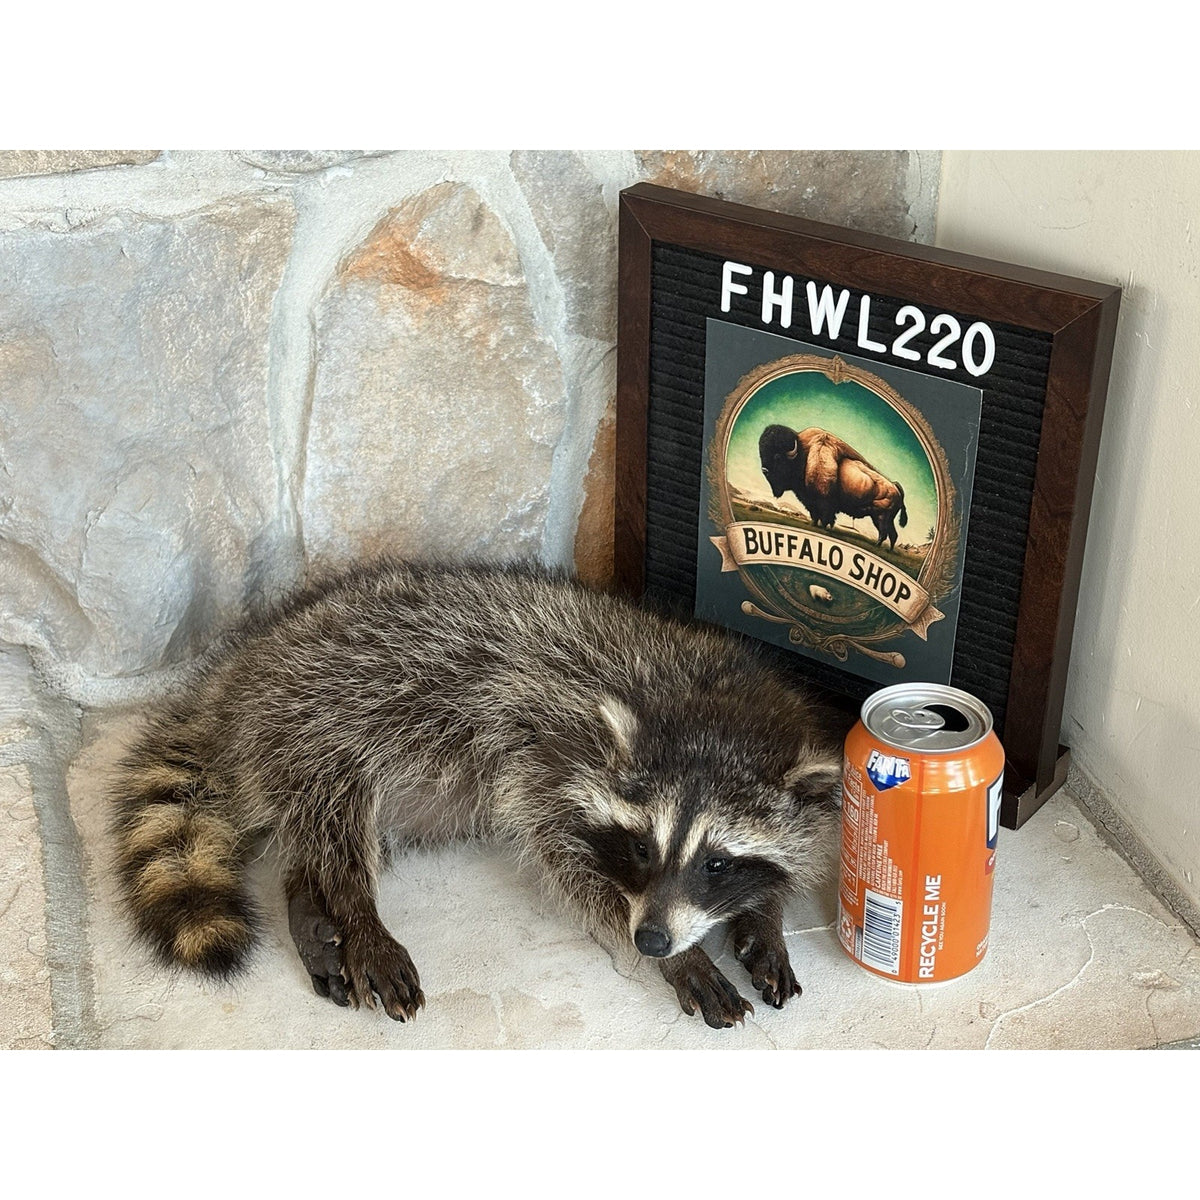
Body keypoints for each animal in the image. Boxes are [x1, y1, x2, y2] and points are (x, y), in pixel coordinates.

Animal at [111, 558, 848, 1029]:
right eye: (641, 848)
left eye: (717, 863)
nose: (651, 941)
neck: (716, 711)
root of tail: (239, 669)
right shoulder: (552, 754)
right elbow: (566, 861)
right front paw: (683, 955)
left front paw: (766, 915)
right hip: (315, 711)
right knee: (336, 812)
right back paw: (350, 905)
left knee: (326, 832)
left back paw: (306, 895)